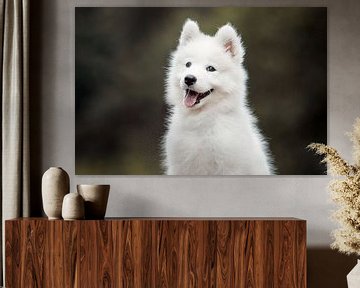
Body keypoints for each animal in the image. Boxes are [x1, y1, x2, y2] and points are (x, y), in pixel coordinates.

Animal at [162, 19, 272, 176]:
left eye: (210, 68)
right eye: (188, 64)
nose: (189, 79)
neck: (202, 119)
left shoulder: (229, 168)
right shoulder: (180, 167)